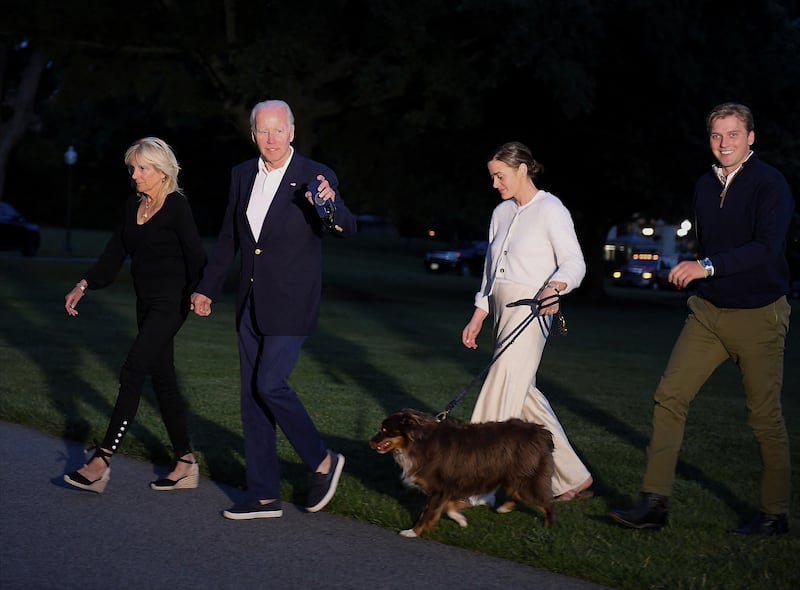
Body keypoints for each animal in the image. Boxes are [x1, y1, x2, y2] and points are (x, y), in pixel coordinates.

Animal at [370, 410, 552, 540]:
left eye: (384, 429)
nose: (370, 442)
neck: (417, 443)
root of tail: (541, 432)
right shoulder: (448, 487)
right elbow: (448, 507)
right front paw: (461, 518)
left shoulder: (440, 489)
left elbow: (427, 514)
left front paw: (412, 532)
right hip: (512, 479)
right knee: (517, 496)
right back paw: (504, 508)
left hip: (524, 481)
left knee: (546, 503)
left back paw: (547, 529)